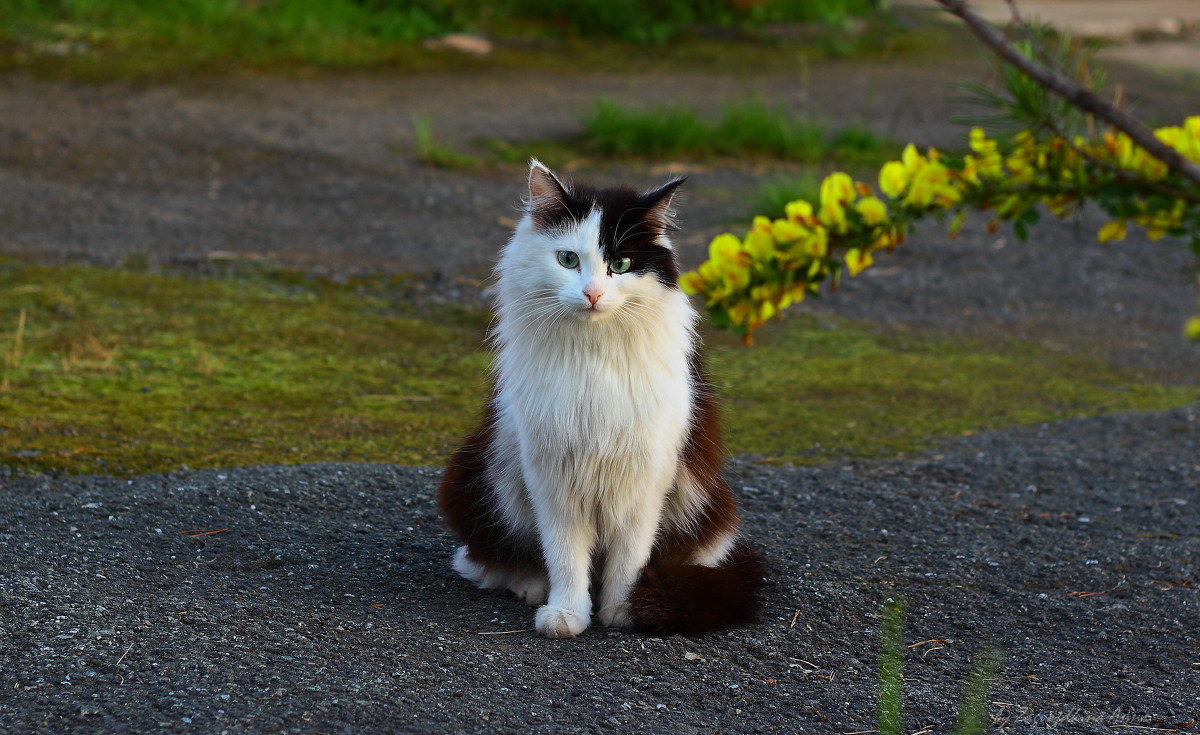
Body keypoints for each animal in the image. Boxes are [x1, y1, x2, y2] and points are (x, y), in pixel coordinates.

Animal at [436, 159, 763, 638]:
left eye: (621, 264)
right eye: (568, 260)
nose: (592, 293)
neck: (594, 355)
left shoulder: (645, 476)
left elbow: (629, 558)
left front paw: (625, 610)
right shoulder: (552, 473)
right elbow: (565, 555)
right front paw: (567, 613)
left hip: (712, 508)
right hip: (480, 476)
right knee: (486, 560)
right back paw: (532, 585)